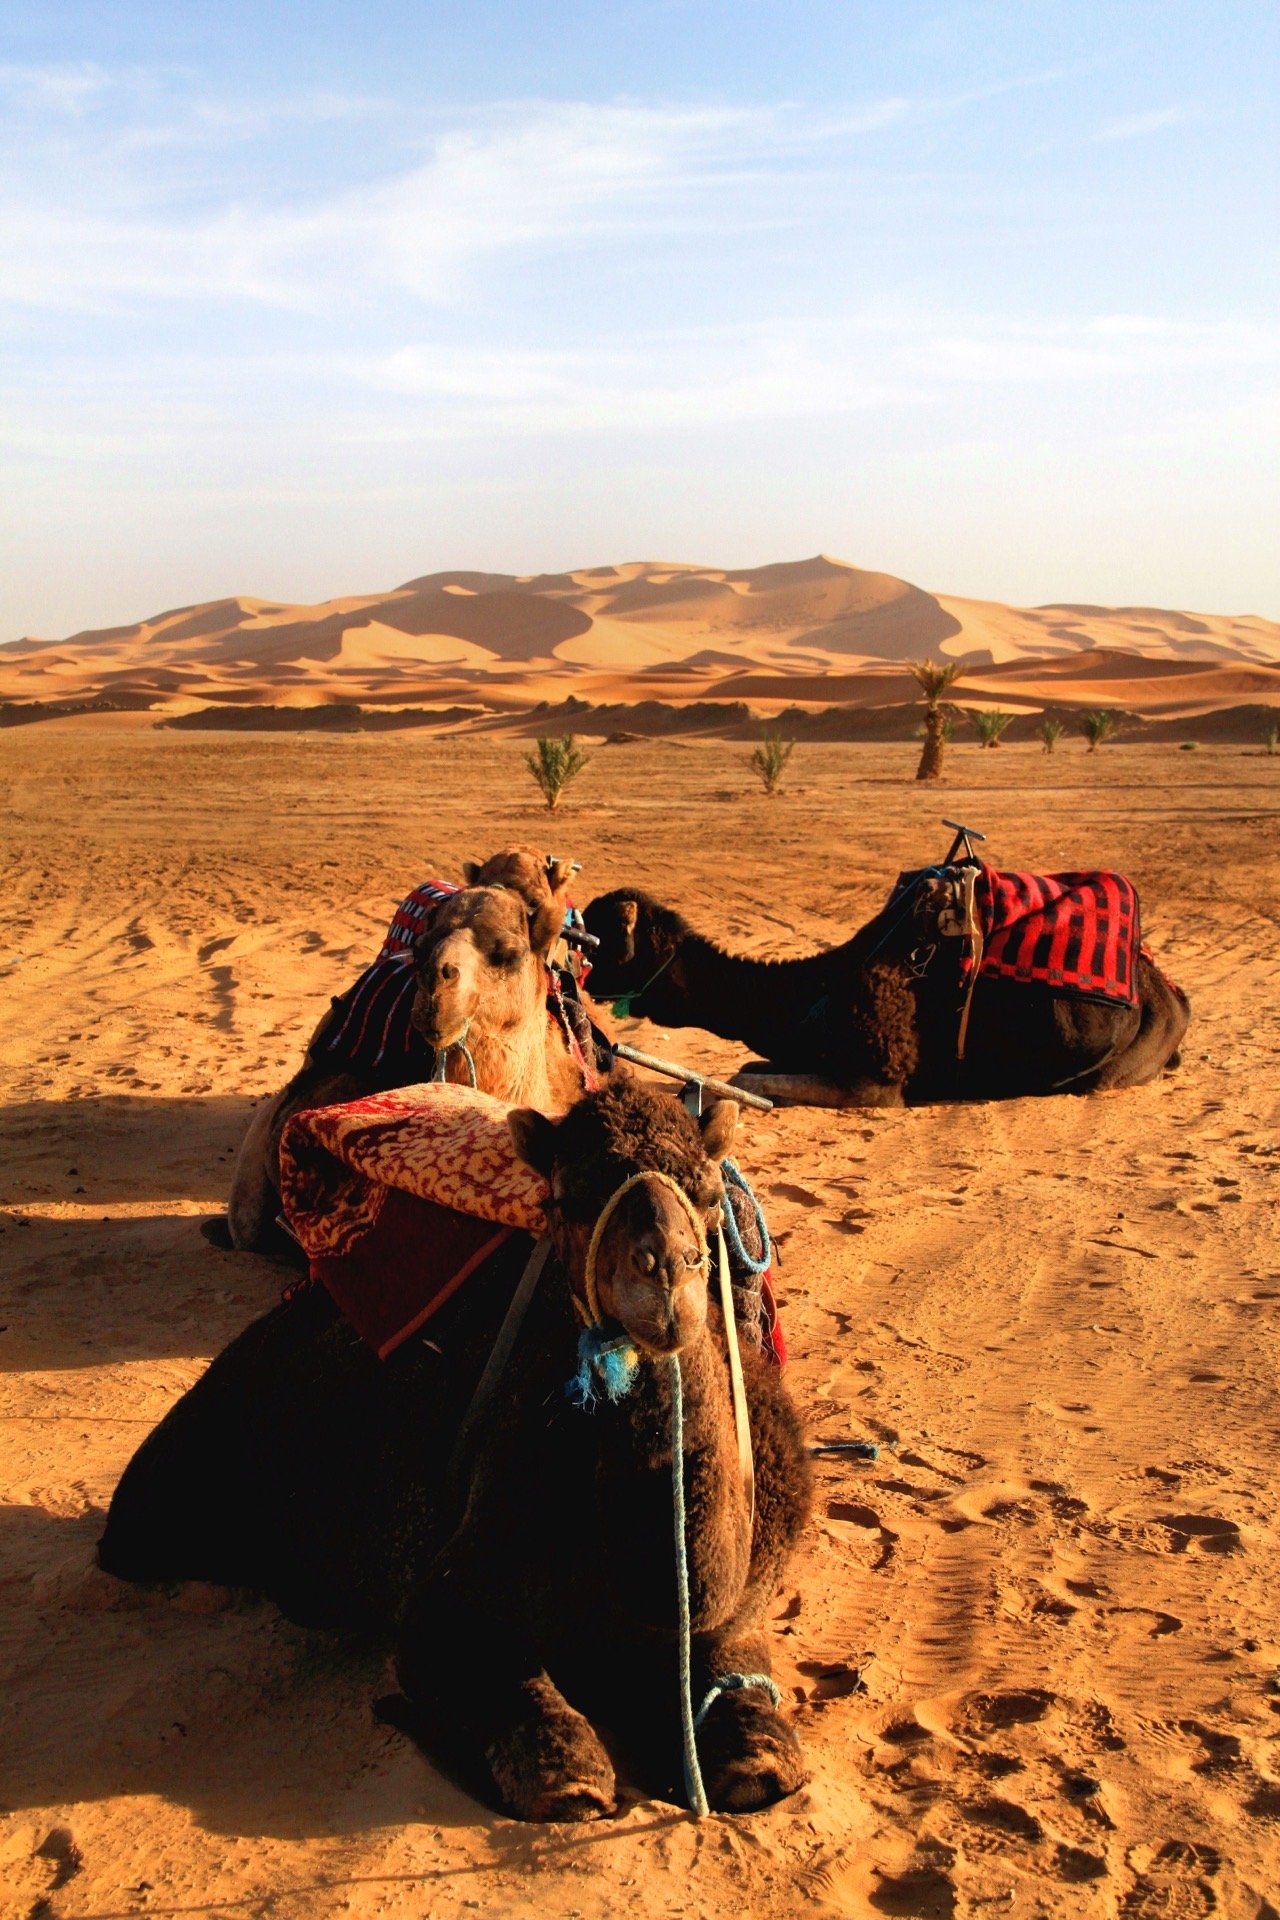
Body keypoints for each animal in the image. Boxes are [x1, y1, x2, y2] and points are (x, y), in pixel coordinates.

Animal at [99, 1081, 812, 1819]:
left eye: (709, 1194)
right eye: (566, 1200)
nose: (665, 1272)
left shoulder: (743, 1609)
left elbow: (757, 1740)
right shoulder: (454, 1587)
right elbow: (535, 1727)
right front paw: (566, 1777)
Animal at [582, 879, 1190, 1108]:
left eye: (604, 935)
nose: (580, 972)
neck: (810, 992)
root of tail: (1170, 995)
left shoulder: (875, 1081)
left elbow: (746, 1079)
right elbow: (750, 1068)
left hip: (1118, 1065)